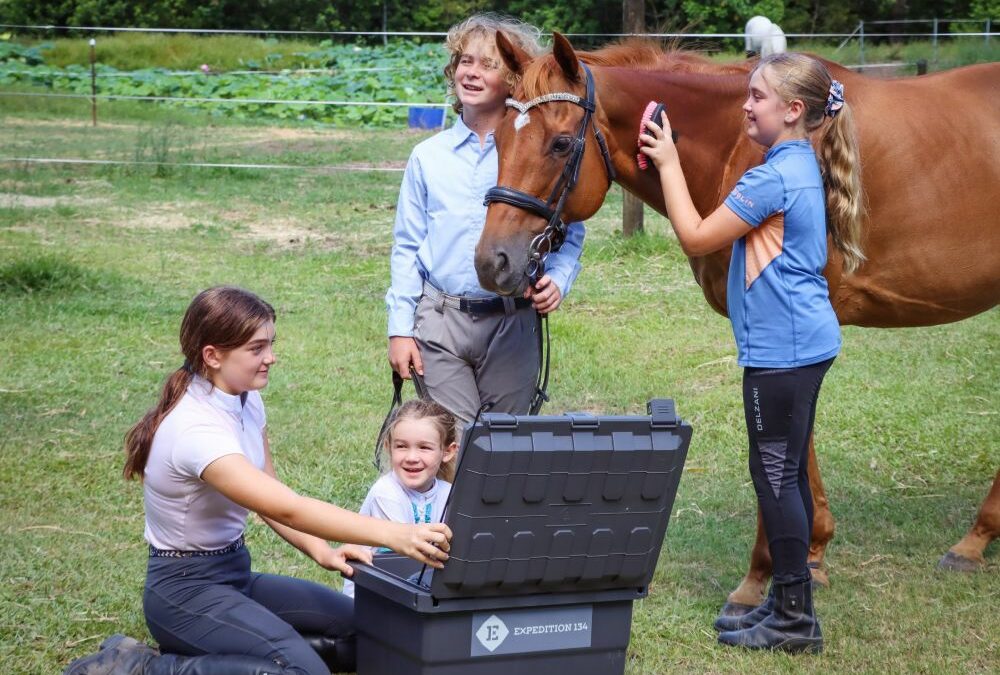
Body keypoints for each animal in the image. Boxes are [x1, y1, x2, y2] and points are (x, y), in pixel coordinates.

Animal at [476, 35, 1000, 616]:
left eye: (562, 143)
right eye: (498, 137)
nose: (492, 262)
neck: (741, 144)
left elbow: (782, 447)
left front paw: (760, 579)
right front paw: (814, 553)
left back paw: (974, 540)